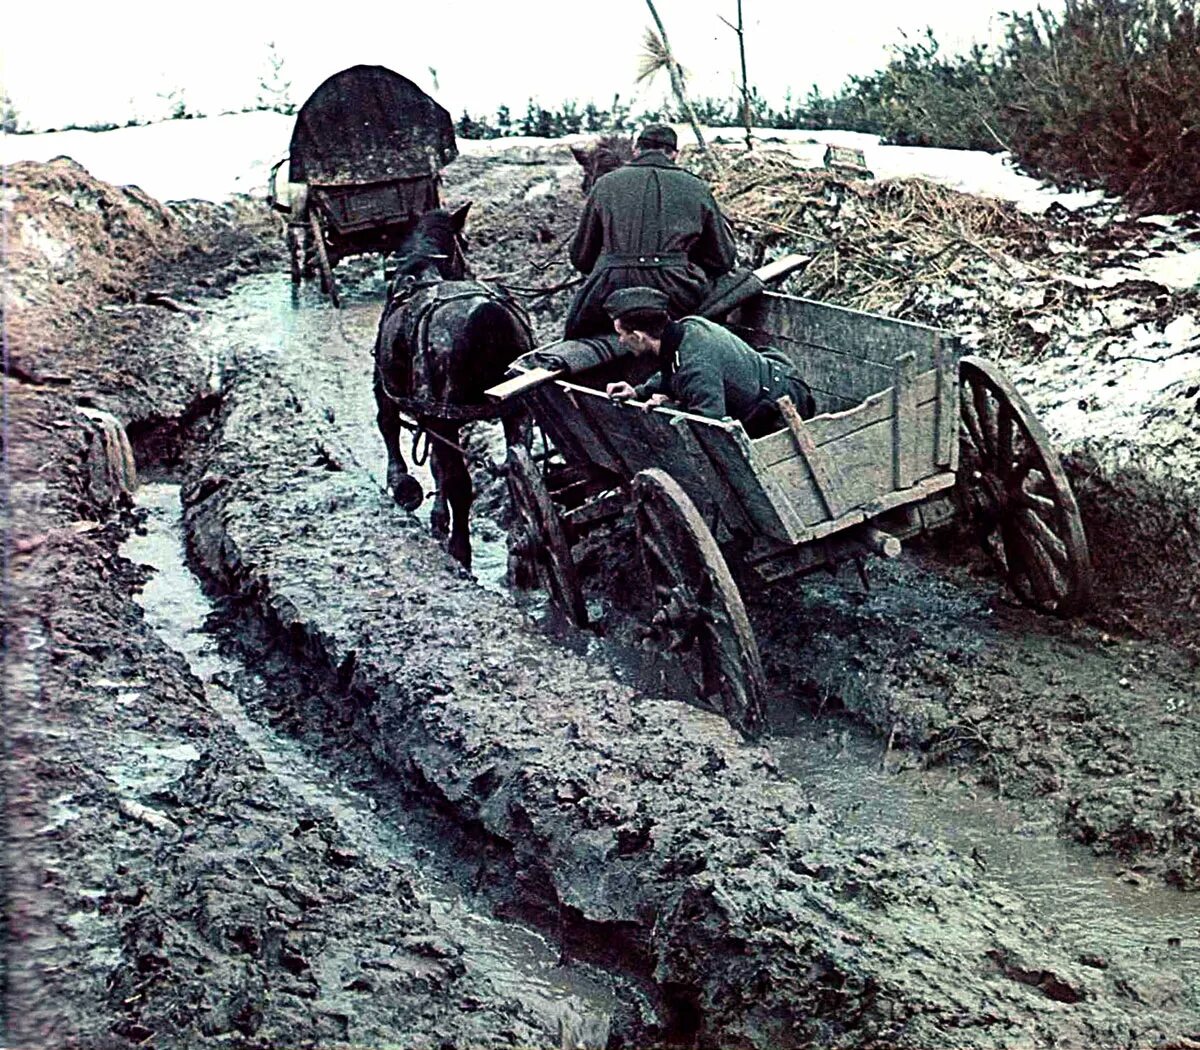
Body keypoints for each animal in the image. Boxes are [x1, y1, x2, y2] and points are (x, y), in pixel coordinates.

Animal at [369, 202, 530, 571]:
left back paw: (460, 550)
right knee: (517, 470)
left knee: (461, 483)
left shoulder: (387, 389)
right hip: (517, 410)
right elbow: (435, 462)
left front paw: (402, 486)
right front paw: (436, 514)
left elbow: (389, 427)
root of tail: (487, 313)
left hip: (446, 415)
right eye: (467, 243)